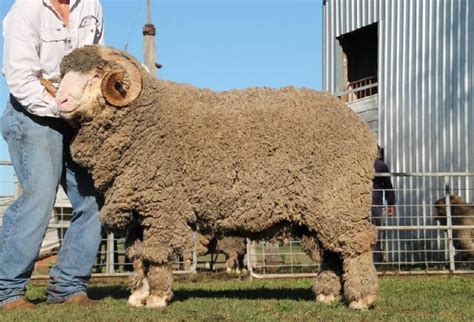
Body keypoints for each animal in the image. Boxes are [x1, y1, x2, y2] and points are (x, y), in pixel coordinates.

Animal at [51, 45, 378, 310]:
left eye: (96, 74)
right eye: (64, 74)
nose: (61, 101)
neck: (143, 119)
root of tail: (359, 126)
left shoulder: (162, 206)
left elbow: (156, 254)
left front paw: (156, 297)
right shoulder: (141, 209)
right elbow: (140, 255)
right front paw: (138, 296)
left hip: (341, 199)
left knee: (355, 247)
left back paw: (362, 298)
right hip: (319, 212)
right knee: (332, 252)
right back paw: (327, 295)